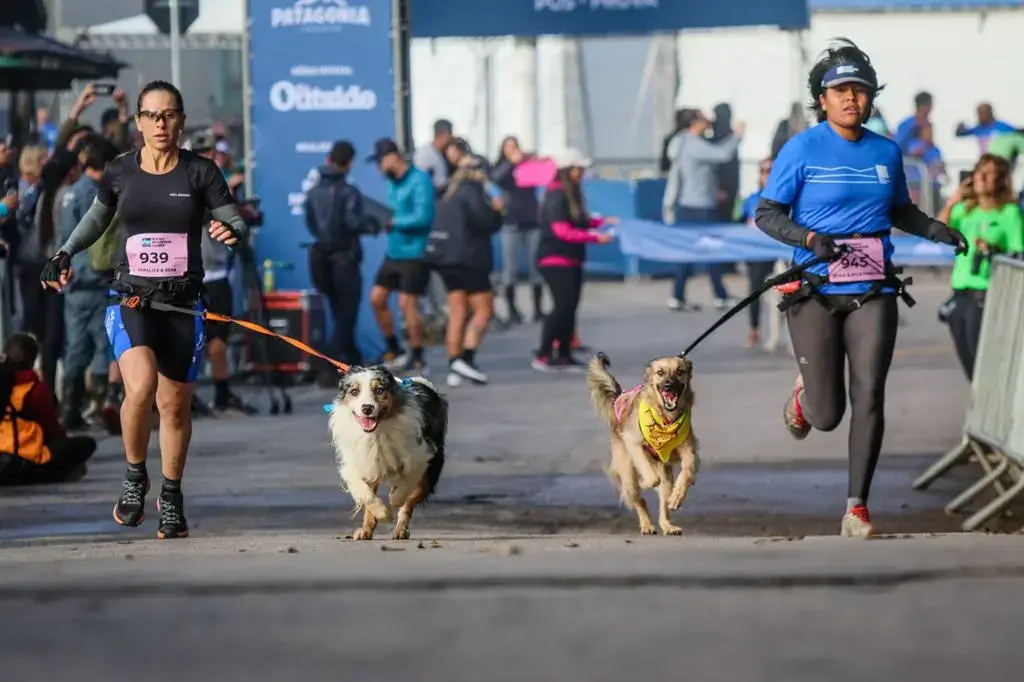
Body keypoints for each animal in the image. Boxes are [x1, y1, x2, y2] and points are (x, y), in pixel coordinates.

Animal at [589, 352, 700, 532]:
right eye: (660, 372)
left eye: (680, 372)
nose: (668, 386)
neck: (665, 419)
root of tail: (618, 400)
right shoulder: (633, 443)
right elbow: (651, 478)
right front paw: (645, 483)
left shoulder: (688, 449)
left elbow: (688, 471)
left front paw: (677, 497)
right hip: (627, 472)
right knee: (638, 497)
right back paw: (647, 525)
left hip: (666, 475)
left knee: (663, 502)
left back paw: (667, 526)